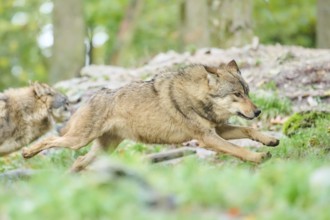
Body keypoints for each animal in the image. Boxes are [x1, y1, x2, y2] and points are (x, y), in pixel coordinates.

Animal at [21, 60, 278, 172]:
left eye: (247, 92)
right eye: (237, 94)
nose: (258, 111)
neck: (195, 96)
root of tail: (94, 95)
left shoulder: (218, 129)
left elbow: (249, 129)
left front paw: (270, 140)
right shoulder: (206, 138)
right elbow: (238, 150)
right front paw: (258, 156)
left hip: (101, 149)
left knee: (78, 161)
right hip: (78, 140)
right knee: (50, 140)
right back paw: (27, 153)